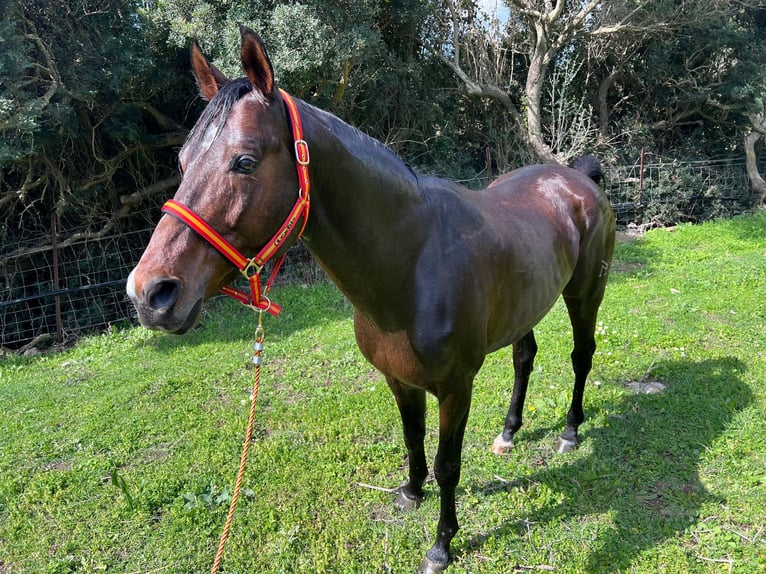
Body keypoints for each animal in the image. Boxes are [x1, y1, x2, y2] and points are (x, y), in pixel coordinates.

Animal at [126, 28, 616, 574]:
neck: (412, 264)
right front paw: (411, 492)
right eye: (183, 162)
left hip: (584, 294)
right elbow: (412, 440)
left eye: (245, 161)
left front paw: (442, 545)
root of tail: (577, 178)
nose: (150, 292)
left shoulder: (456, 388)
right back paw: (509, 433)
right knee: (524, 358)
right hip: (524, 306)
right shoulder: (399, 379)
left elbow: (448, 464)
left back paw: (570, 431)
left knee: (581, 356)